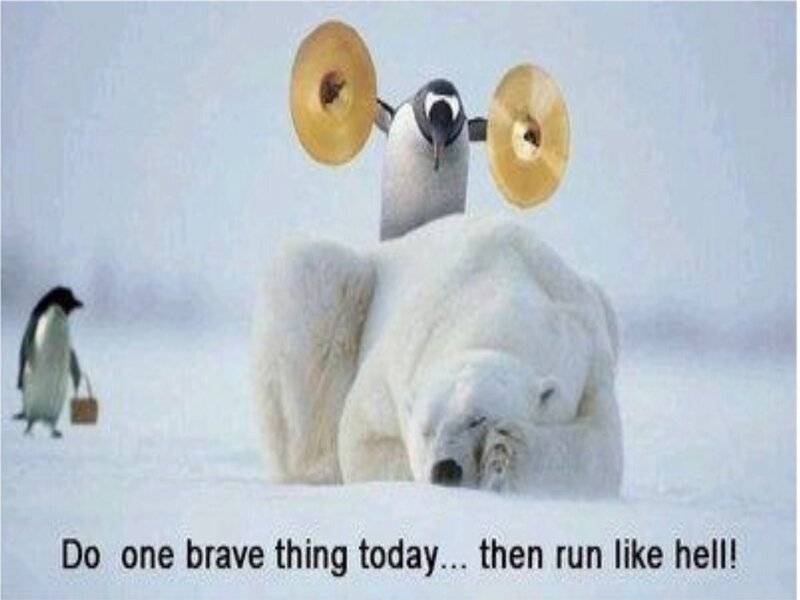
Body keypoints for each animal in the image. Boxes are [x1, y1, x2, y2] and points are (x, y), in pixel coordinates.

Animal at [253, 215, 622, 495]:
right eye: (425, 429)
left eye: (478, 419)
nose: (445, 469)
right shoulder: (396, 358)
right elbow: (361, 437)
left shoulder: (588, 353)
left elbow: (599, 448)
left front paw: (502, 453)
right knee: (308, 271)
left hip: (603, 303)